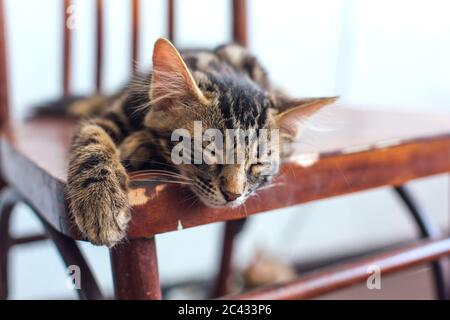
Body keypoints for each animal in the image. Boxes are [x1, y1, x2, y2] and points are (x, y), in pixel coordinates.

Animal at [63, 38, 338, 248]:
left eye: (257, 163)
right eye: (210, 150)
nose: (232, 195)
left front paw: (140, 145)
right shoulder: (108, 117)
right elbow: (92, 147)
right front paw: (100, 203)